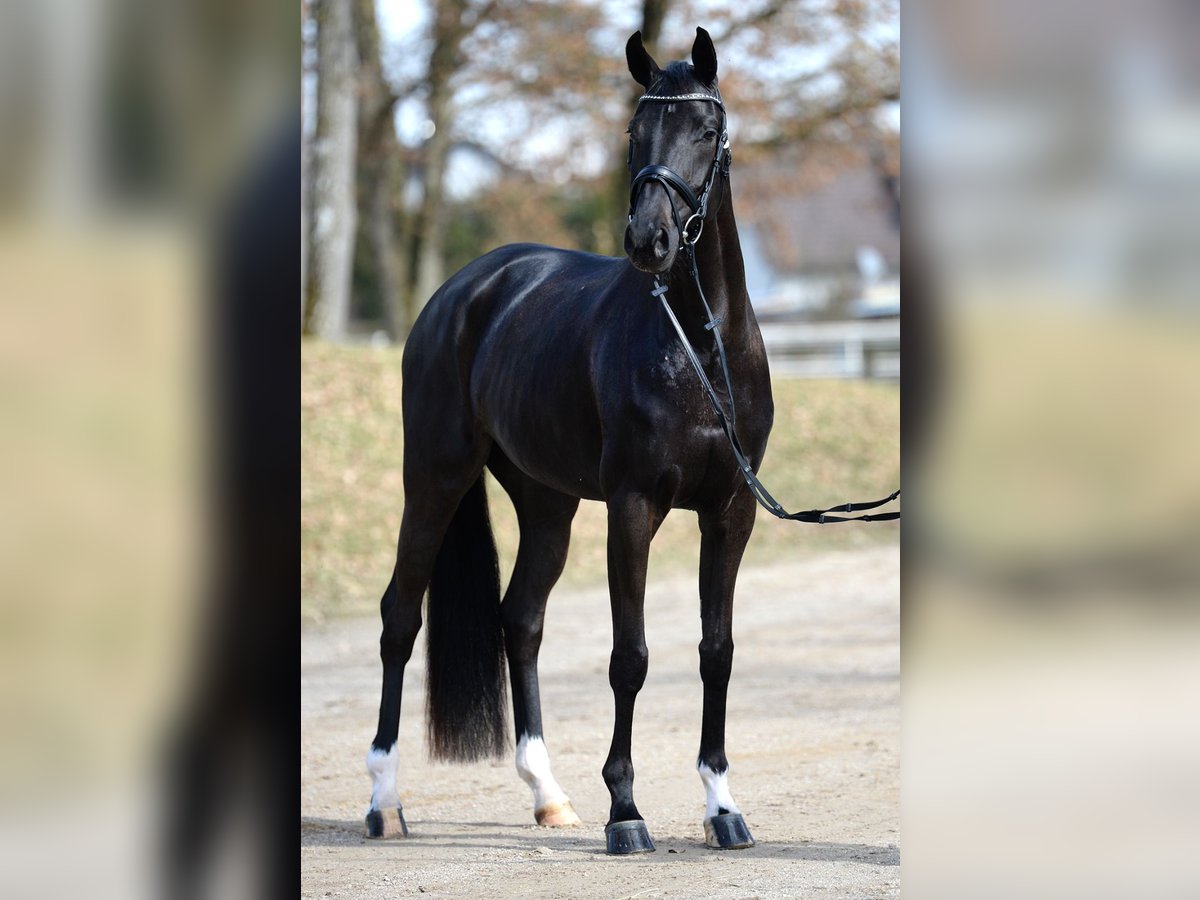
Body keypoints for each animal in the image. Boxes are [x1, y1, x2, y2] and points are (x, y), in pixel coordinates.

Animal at [364, 28, 772, 854]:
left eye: (704, 131)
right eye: (635, 133)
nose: (648, 240)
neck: (699, 349)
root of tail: (463, 292)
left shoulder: (731, 513)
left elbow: (716, 652)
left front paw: (721, 804)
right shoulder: (633, 508)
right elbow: (631, 657)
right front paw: (626, 811)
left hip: (546, 503)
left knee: (520, 618)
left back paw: (547, 795)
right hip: (434, 479)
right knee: (399, 618)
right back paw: (384, 799)